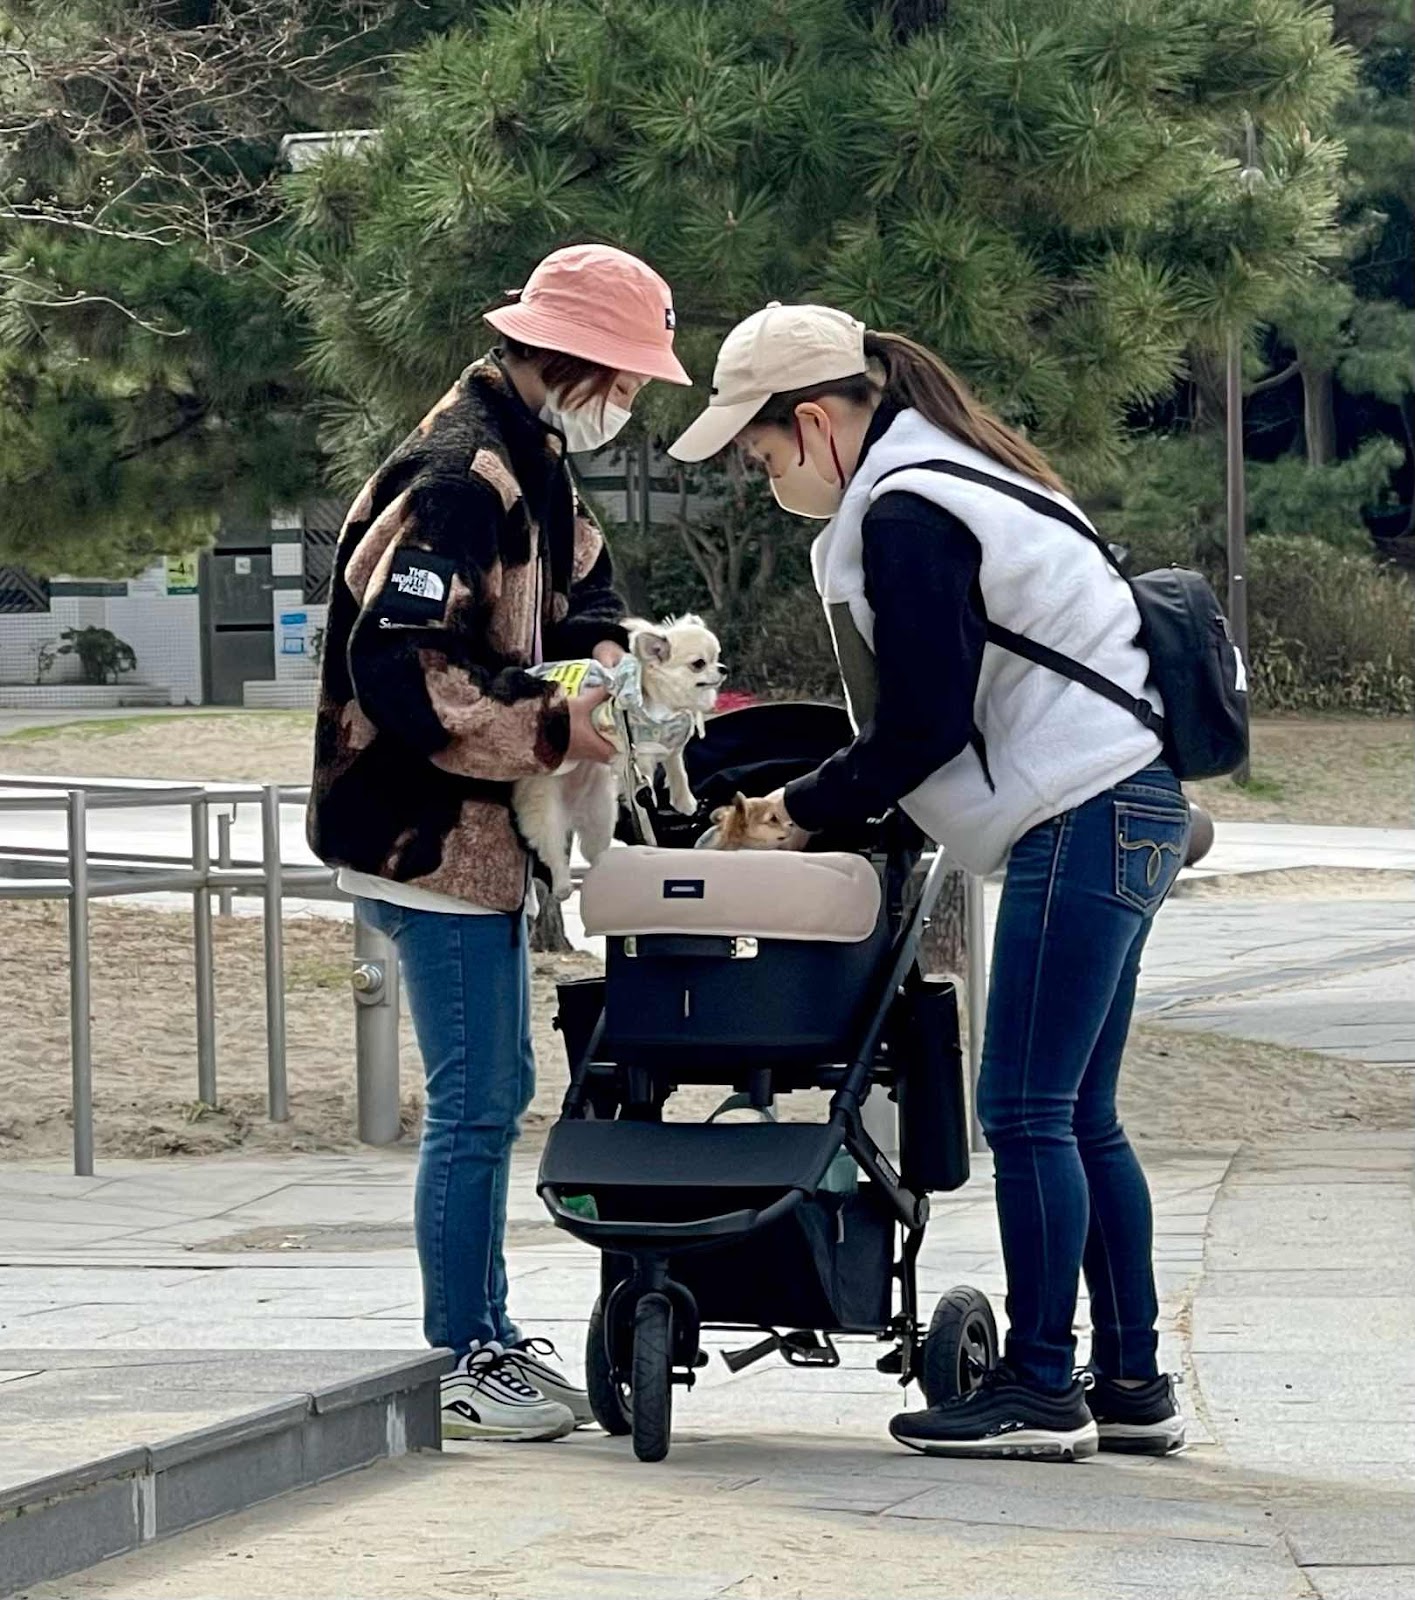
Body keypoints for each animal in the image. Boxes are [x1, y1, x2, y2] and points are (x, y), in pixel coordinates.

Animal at [514, 615, 723, 899]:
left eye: (718, 656)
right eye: (699, 664)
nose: (723, 668)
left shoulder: (669, 745)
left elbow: (677, 769)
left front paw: (684, 801)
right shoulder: (636, 755)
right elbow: (644, 790)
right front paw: (655, 809)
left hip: (600, 815)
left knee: (595, 853)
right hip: (545, 813)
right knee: (553, 851)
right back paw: (563, 885)